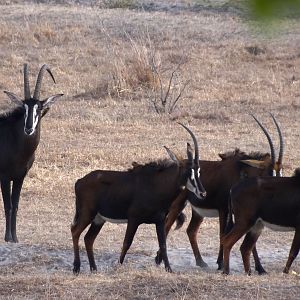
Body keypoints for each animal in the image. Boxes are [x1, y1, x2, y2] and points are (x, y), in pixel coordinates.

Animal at [0, 64, 62, 243]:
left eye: (39, 108)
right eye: (24, 107)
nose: (28, 128)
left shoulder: (20, 177)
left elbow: (16, 205)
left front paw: (15, 237)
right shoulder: (4, 177)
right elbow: (8, 205)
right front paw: (7, 237)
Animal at [71, 123, 206, 274]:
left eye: (198, 171)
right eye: (188, 172)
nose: (202, 193)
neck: (156, 185)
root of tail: (80, 181)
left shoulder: (159, 221)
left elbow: (163, 244)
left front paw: (169, 269)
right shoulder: (133, 219)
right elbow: (127, 243)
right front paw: (118, 265)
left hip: (98, 219)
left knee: (88, 239)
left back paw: (94, 268)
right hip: (87, 213)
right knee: (75, 232)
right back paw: (76, 267)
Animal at [155, 113, 284, 274]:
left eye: (281, 171)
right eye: (270, 172)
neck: (241, 172)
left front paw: (260, 268)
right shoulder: (224, 210)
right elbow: (223, 234)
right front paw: (221, 263)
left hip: (198, 211)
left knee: (191, 230)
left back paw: (200, 261)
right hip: (177, 205)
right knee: (167, 226)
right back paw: (159, 260)